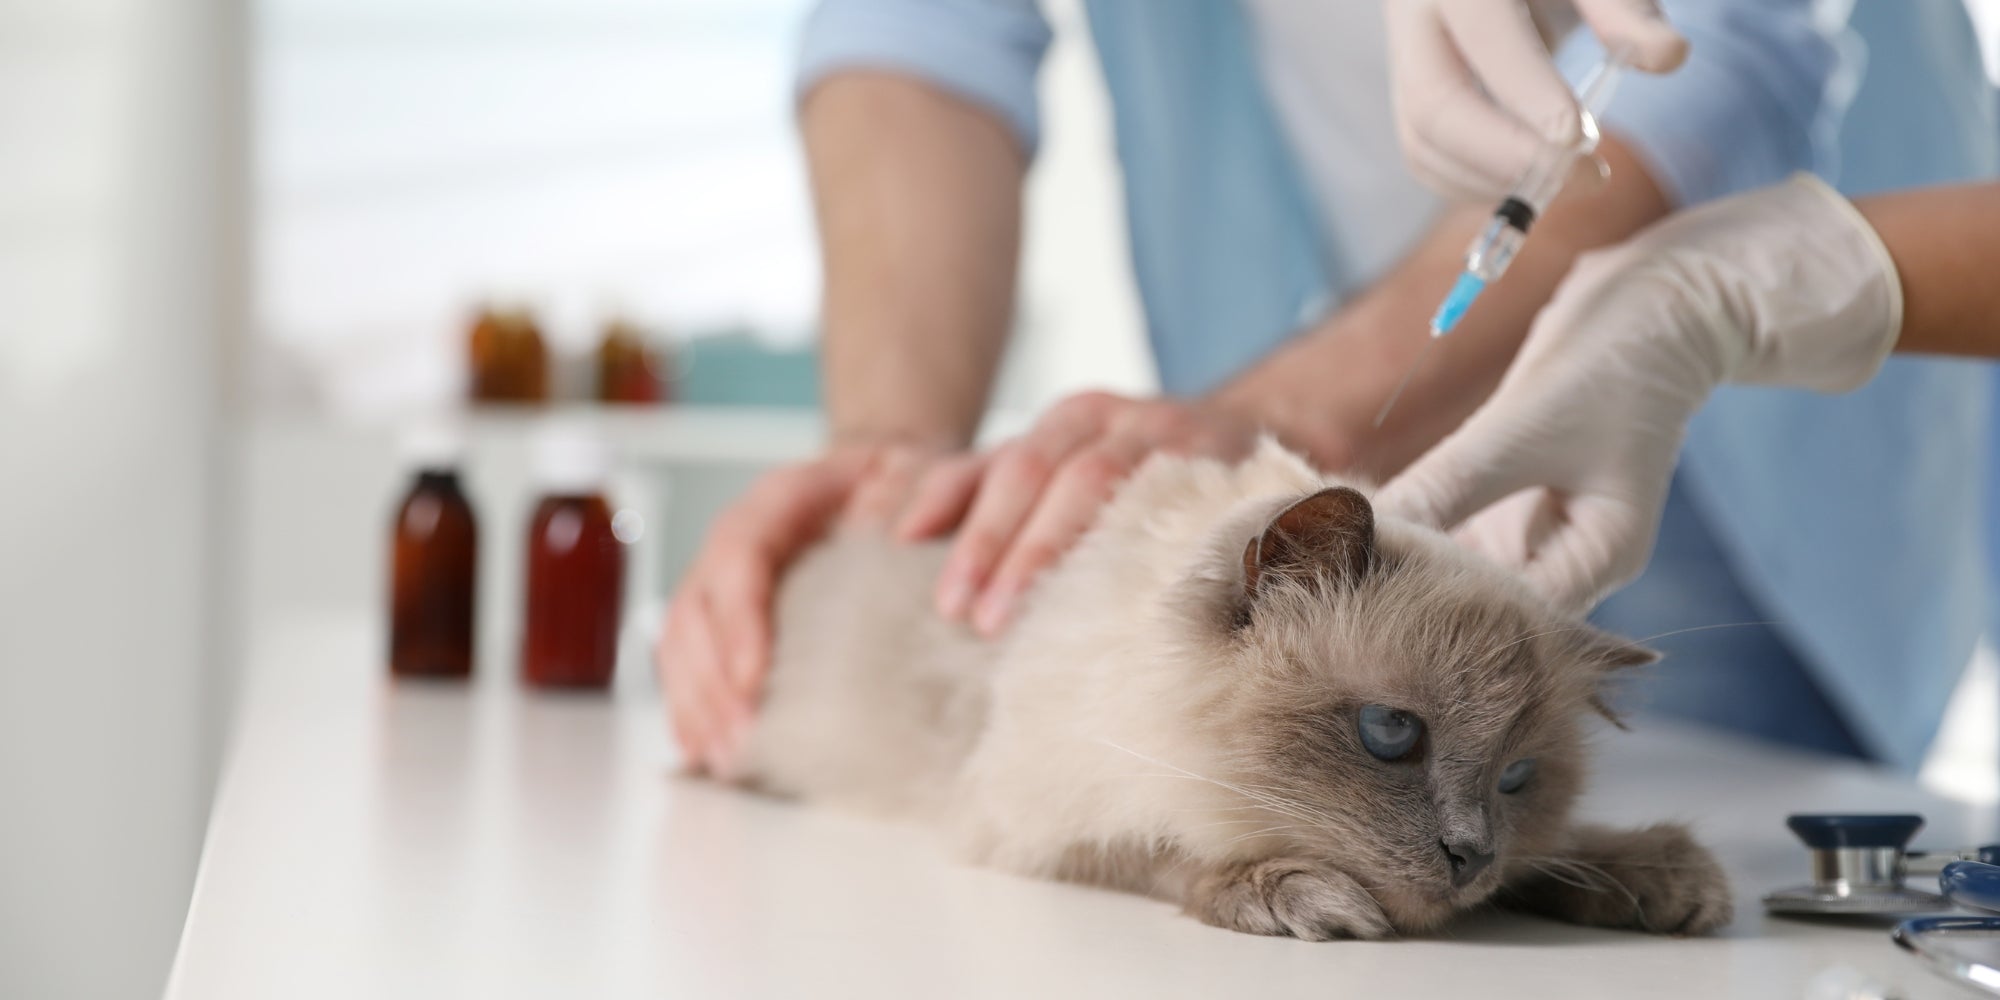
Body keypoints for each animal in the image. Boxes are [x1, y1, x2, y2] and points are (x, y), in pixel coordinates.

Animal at [736, 442, 1736, 940]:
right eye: (1389, 733)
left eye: (1518, 780)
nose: (1469, 856)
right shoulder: (1035, 817)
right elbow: (1169, 850)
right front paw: (1300, 895)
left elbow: (1558, 857)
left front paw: (1652, 877)